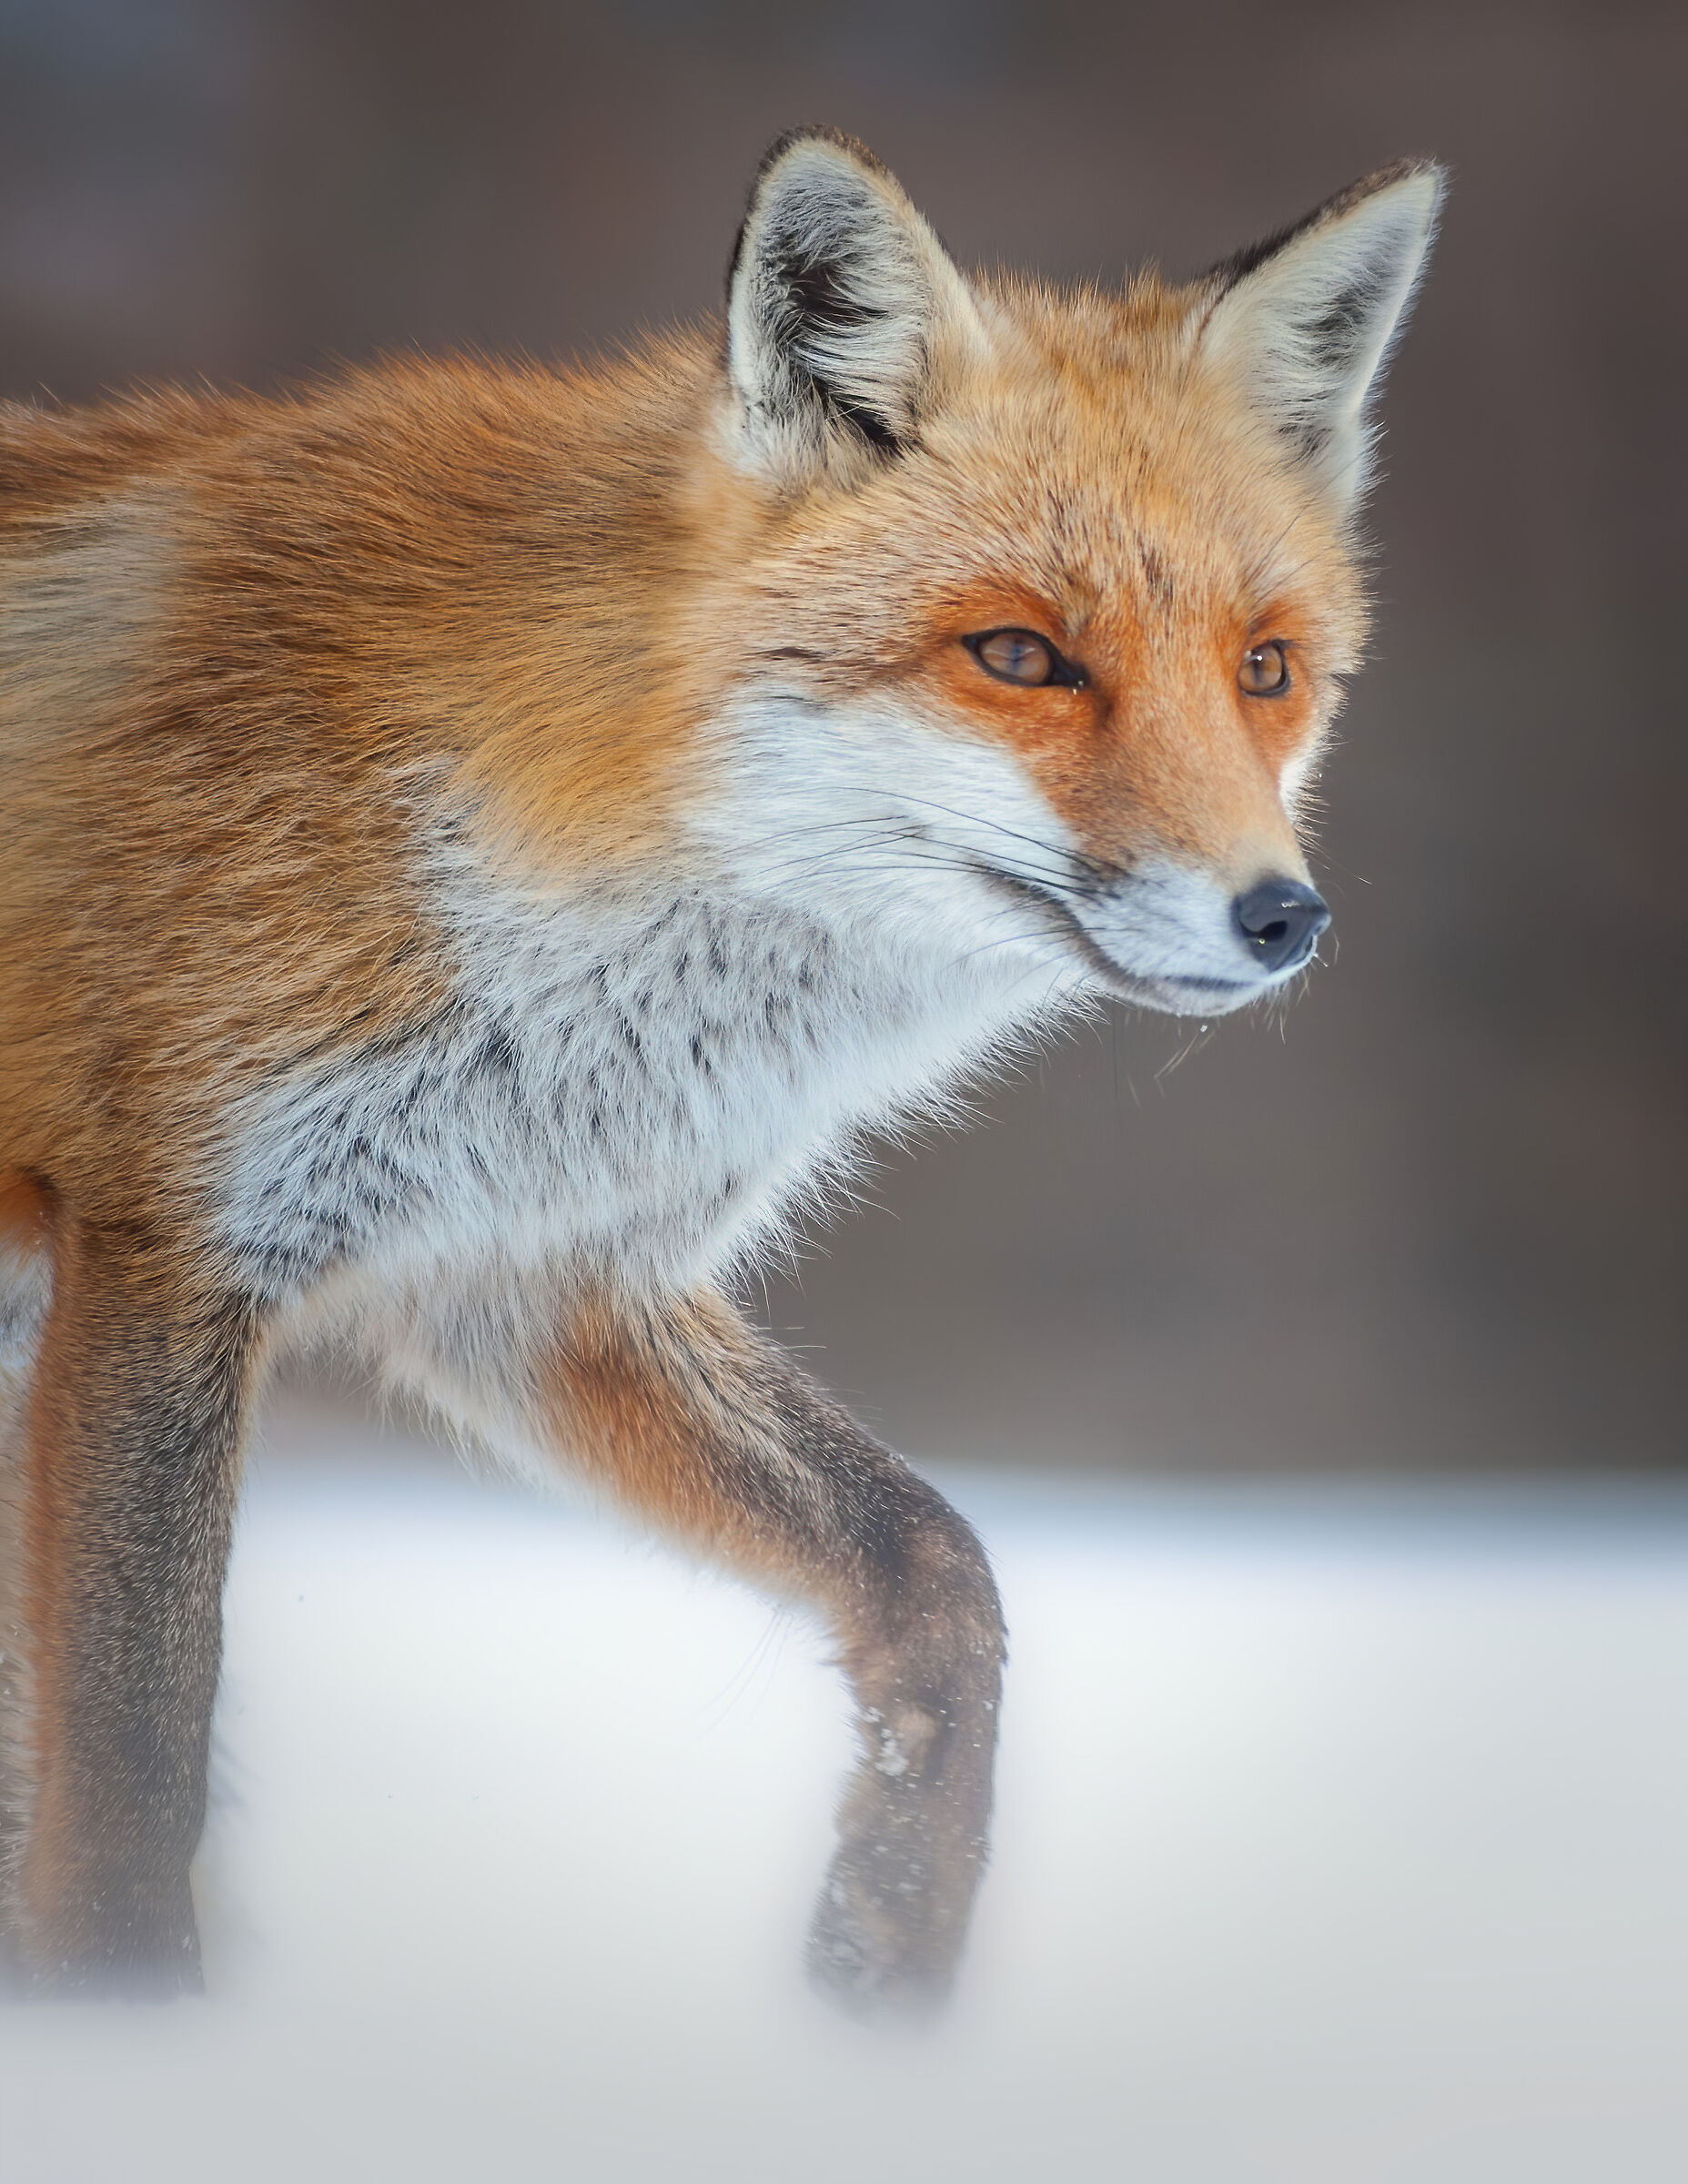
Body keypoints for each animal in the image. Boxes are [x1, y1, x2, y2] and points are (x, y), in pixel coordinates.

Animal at [0, 129, 1440, 2011]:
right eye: (1020, 656)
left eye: (1264, 669)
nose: (1281, 918)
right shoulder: (167, 1244)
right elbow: (128, 1805)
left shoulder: (534, 1278)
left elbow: (940, 1572)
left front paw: (883, 1949)